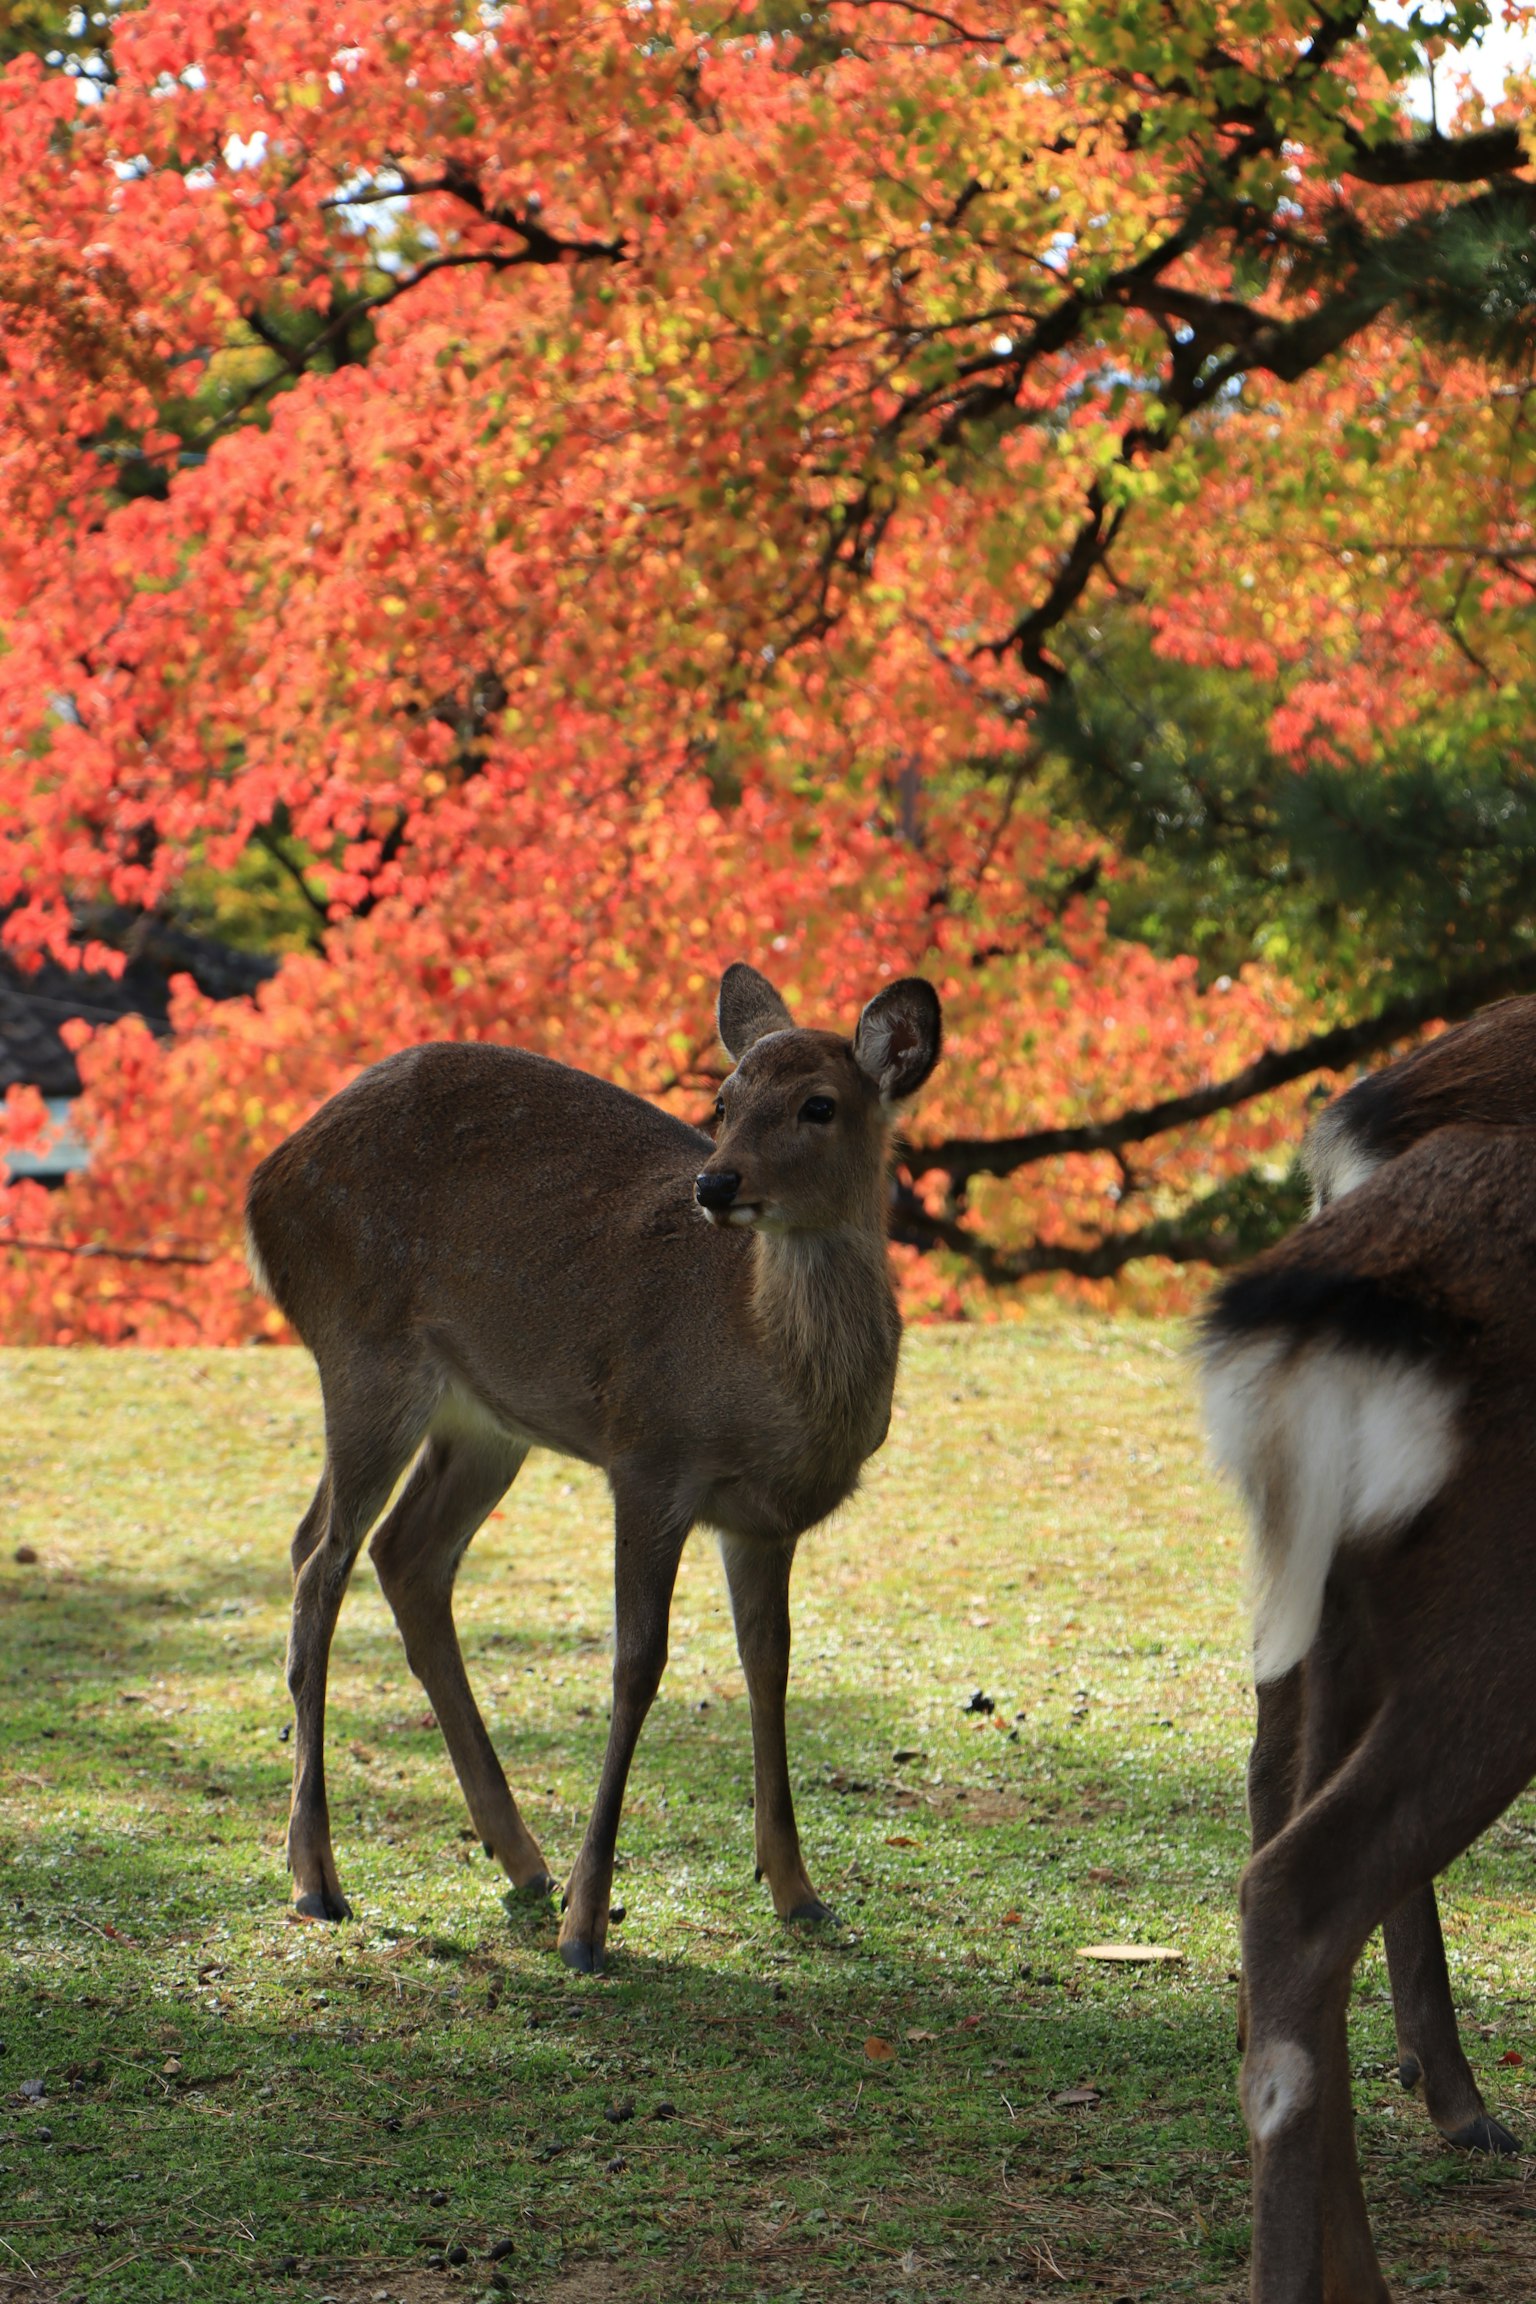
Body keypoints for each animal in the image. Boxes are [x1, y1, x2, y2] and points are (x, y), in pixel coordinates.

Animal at [243, 962, 942, 1972]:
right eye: (724, 1101)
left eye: (820, 1104)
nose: (715, 1182)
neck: (762, 1369)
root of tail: (262, 1187)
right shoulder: (647, 1457)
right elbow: (637, 1663)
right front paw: (588, 1925)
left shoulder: (761, 1521)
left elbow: (769, 1664)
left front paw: (799, 1892)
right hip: (363, 1351)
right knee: (319, 1563)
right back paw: (319, 1879)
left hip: (485, 1420)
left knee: (400, 1553)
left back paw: (520, 1860)